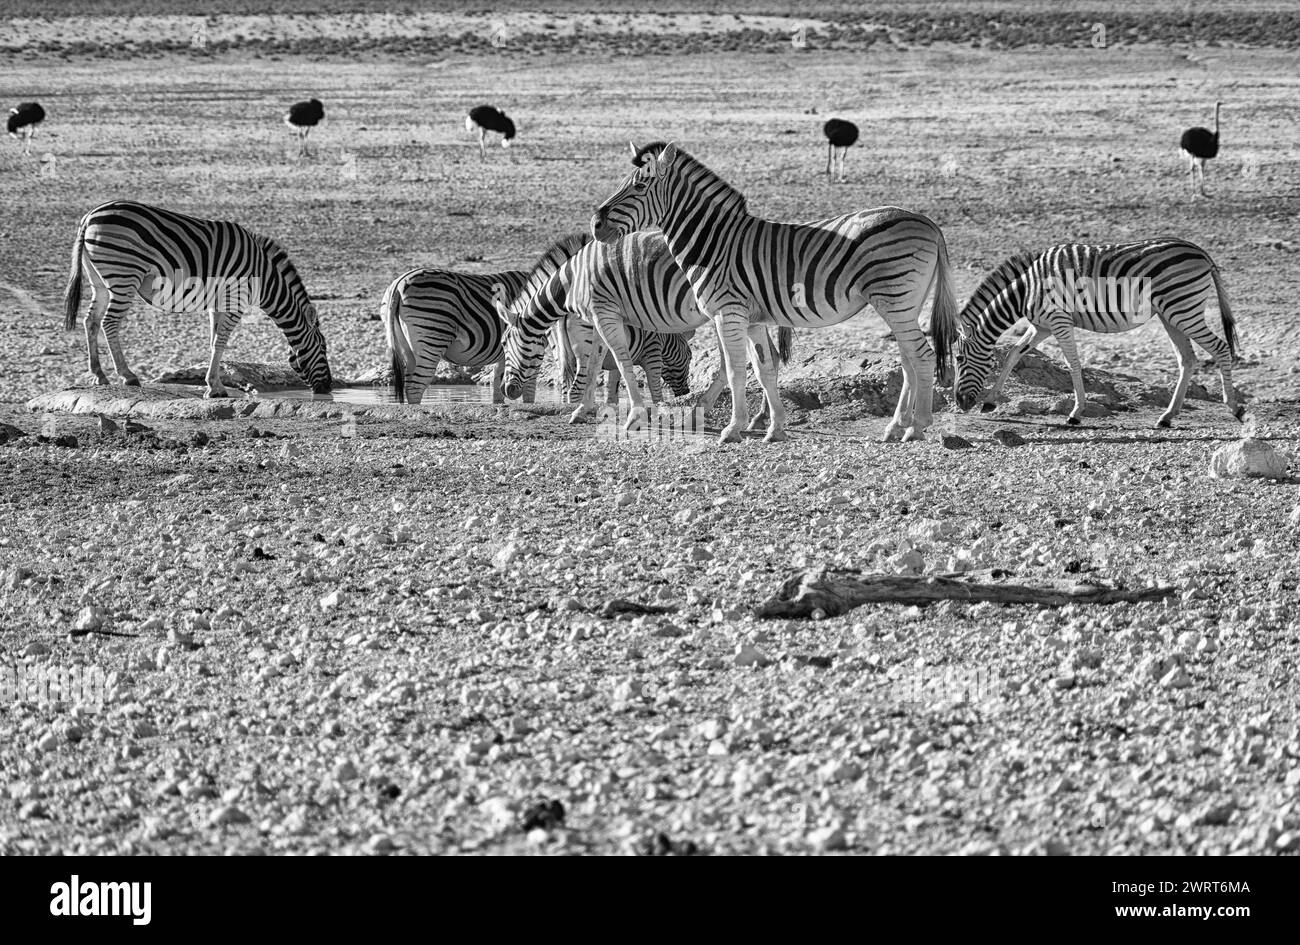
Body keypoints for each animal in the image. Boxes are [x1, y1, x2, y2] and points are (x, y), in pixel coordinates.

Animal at [64, 201, 332, 398]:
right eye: (323, 347)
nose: (328, 387)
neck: (265, 277)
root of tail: (89, 217)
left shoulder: (218, 302)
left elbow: (214, 342)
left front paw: (214, 384)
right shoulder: (236, 299)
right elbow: (221, 342)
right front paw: (215, 389)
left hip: (100, 280)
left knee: (91, 320)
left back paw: (99, 375)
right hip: (124, 275)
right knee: (109, 322)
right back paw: (127, 376)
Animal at [383, 236, 588, 404]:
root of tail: (398, 285)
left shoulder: (507, 352)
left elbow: (498, 385)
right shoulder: (535, 348)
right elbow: (530, 391)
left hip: (406, 346)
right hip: (432, 338)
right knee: (415, 386)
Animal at [496, 228, 792, 429]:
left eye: (504, 344)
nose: (507, 391)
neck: (573, 279)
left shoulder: (600, 321)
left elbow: (616, 364)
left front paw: (634, 412)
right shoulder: (599, 321)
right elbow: (598, 366)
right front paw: (585, 409)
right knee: (767, 356)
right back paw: (759, 417)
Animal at [590, 141, 957, 443]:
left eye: (639, 186)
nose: (595, 224)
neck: (713, 243)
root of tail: (927, 221)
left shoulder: (728, 312)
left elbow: (736, 369)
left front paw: (733, 429)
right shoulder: (753, 319)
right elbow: (764, 369)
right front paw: (774, 428)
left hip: (895, 298)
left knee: (922, 356)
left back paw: (917, 427)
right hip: (902, 303)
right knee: (909, 360)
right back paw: (895, 426)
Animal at [951, 239, 1243, 427]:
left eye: (958, 359)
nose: (960, 403)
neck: (1026, 289)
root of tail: (1200, 251)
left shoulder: (1058, 321)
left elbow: (1073, 363)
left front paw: (1076, 413)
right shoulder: (1041, 325)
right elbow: (1013, 353)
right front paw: (990, 401)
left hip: (1182, 308)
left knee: (1220, 347)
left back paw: (1234, 407)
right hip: (1170, 314)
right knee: (1187, 359)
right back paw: (1167, 417)